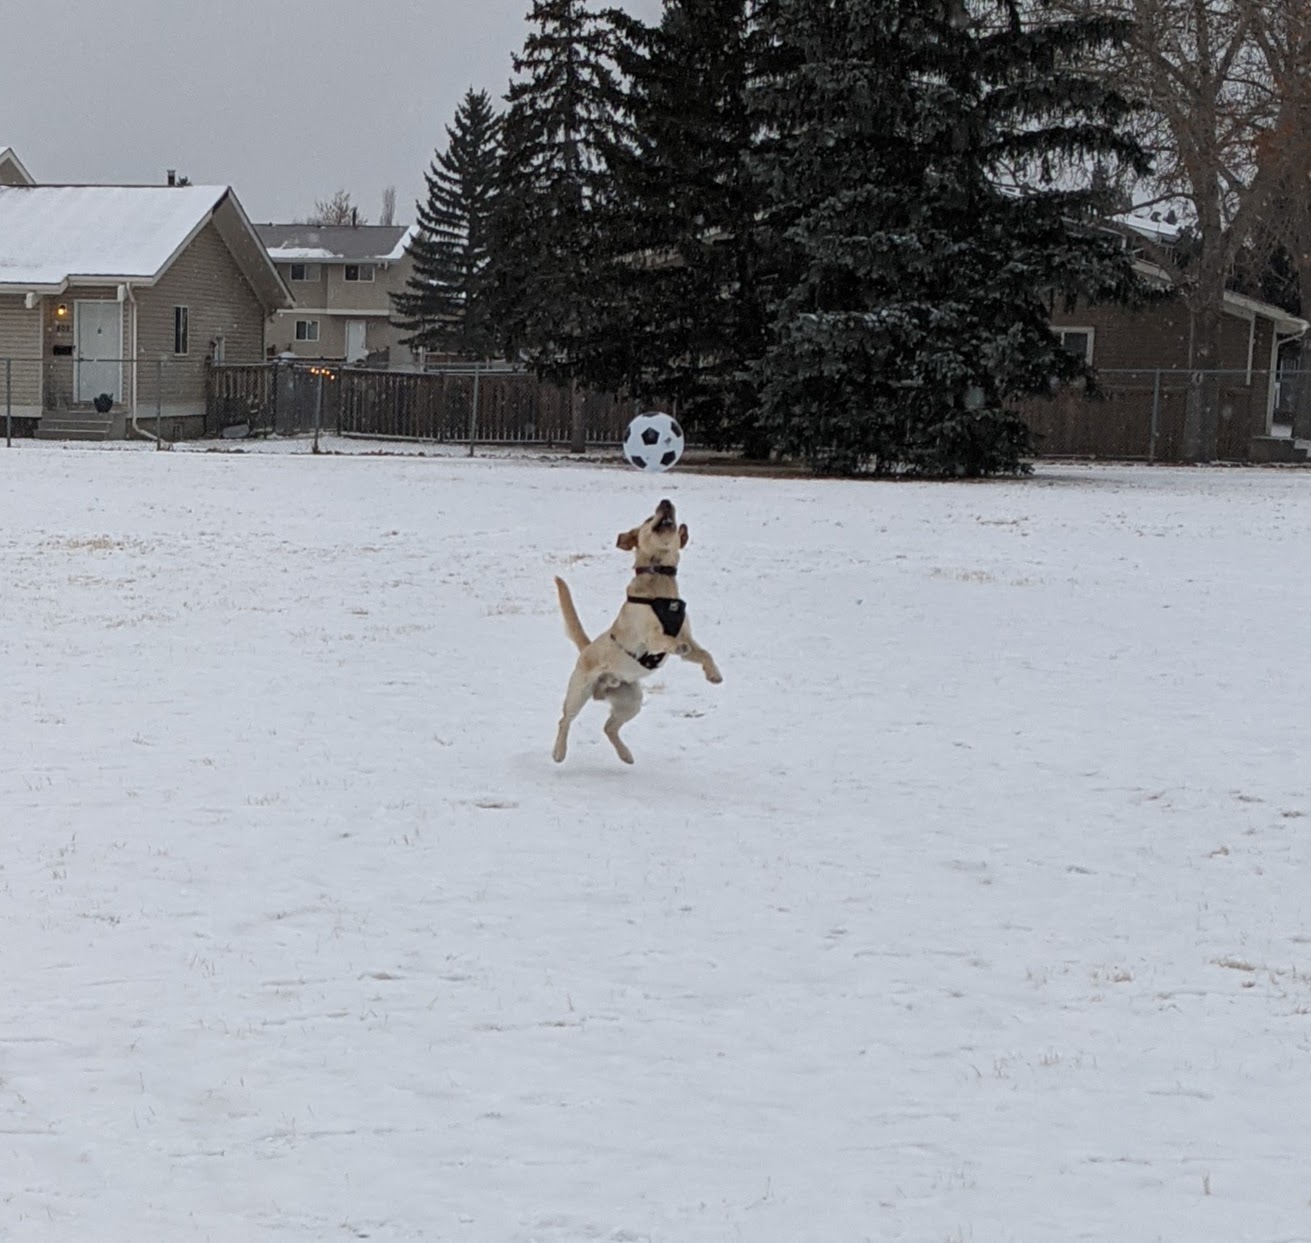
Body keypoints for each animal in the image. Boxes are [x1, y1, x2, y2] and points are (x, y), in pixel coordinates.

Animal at [553, 498, 723, 764]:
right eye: (647, 518)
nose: (666, 501)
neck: (660, 581)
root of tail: (587, 647)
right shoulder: (650, 637)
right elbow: (665, 639)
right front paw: (676, 646)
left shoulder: (689, 638)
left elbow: (704, 653)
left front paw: (714, 674)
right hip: (578, 692)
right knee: (564, 720)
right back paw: (559, 752)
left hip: (631, 700)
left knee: (609, 727)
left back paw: (626, 755)